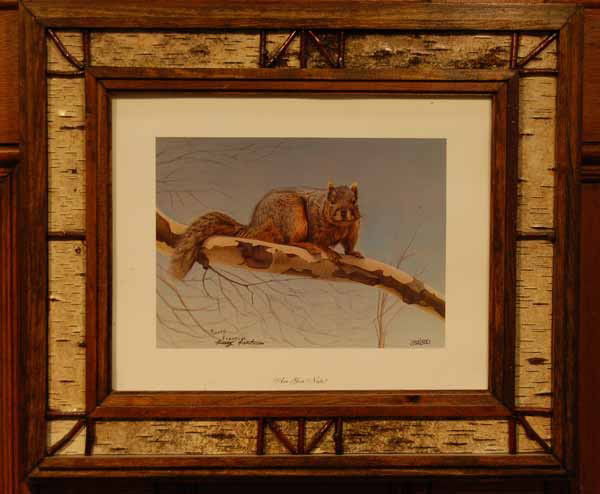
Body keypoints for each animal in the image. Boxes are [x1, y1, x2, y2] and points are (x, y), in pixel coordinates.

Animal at [170, 181, 363, 280]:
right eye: (332, 200)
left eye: (354, 201)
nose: (344, 212)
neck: (340, 225)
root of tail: (255, 226)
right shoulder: (316, 227)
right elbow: (319, 241)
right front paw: (328, 251)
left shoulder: (353, 229)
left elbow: (349, 245)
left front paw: (353, 252)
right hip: (294, 216)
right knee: (290, 241)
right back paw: (306, 245)